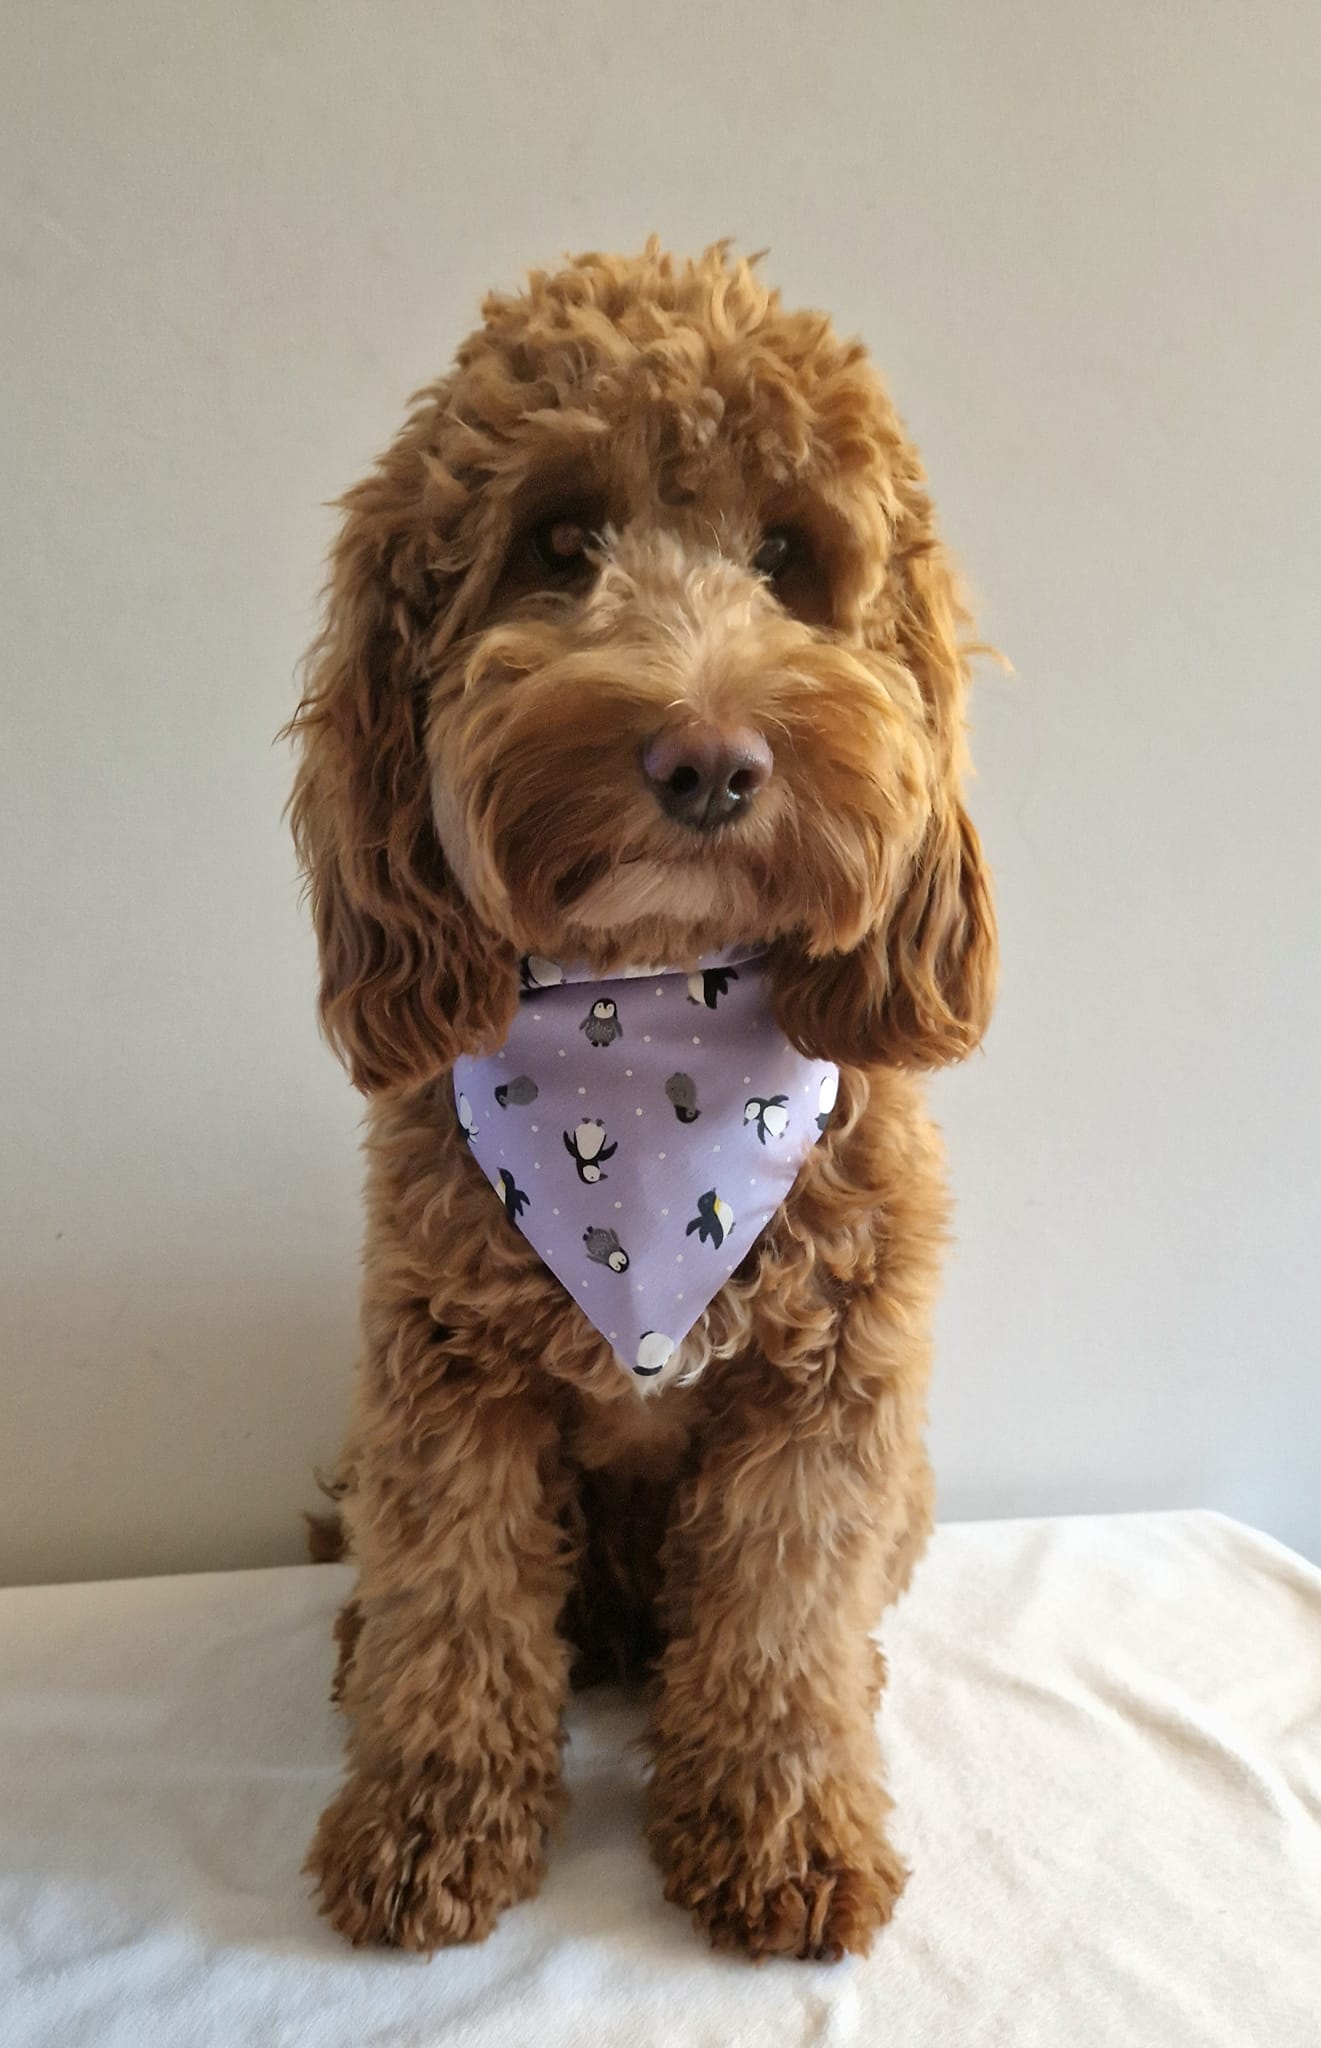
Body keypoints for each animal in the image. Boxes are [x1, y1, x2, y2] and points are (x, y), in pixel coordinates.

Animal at [286, 243, 991, 1966]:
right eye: (557, 541)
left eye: (791, 557)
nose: (709, 759)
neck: (649, 1013)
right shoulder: (443, 1375)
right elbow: (458, 1598)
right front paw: (429, 1824)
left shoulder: (825, 1396)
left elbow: (779, 1621)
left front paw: (783, 1832)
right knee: (421, 1583)